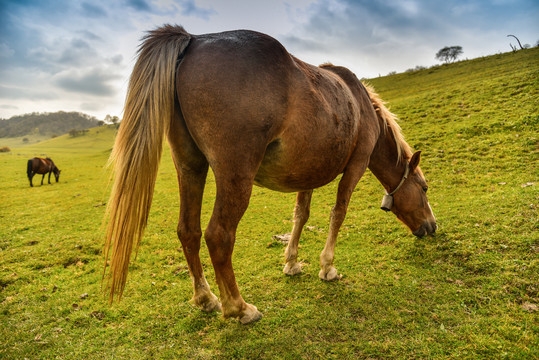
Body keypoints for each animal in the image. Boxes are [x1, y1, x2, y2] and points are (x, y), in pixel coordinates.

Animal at [104, 24, 438, 324]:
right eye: (424, 188)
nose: (432, 227)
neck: (360, 105)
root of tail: (195, 40)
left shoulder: (309, 172)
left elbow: (301, 215)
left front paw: (291, 262)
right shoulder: (355, 166)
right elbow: (338, 212)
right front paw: (327, 267)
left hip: (190, 167)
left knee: (189, 231)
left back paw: (206, 298)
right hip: (235, 175)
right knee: (218, 235)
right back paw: (239, 308)